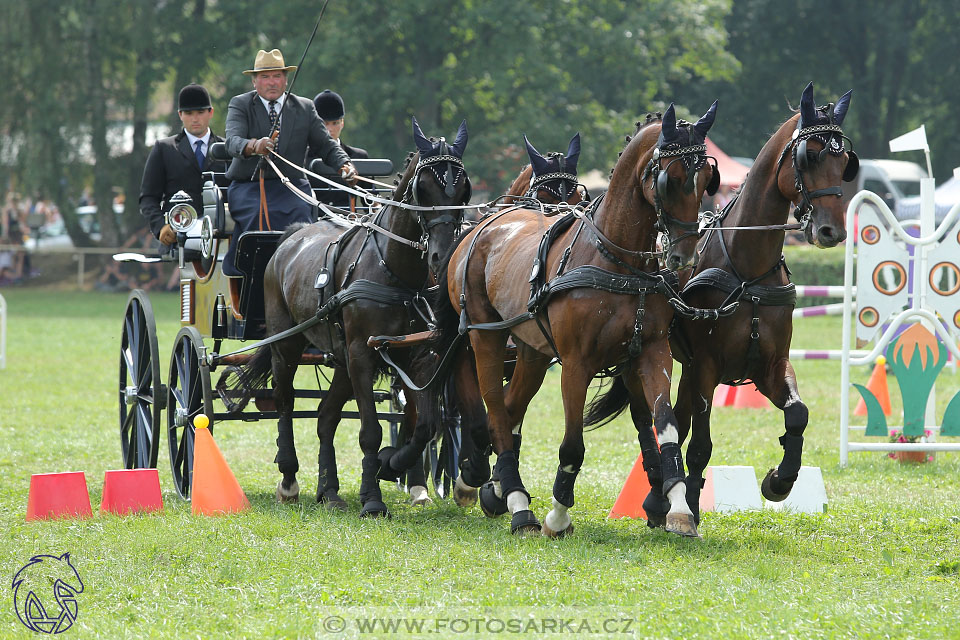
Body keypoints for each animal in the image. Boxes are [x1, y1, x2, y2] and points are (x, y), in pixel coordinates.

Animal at [218, 117, 472, 516]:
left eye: (463, 188)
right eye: (422, 187)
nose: (442, 256)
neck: (394, 271)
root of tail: (289, 238)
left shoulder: (416, 357)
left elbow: (425, 425)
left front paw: (391, 466)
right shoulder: (362, 354)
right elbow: (370, 431)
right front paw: (372, 498)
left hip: (340, 359)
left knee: (325, 416)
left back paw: (329, 490)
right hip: (288, 346)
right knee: (285, 401)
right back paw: (289, 480)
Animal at [430, 104, 720, 536]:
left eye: (705, 180)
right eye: (671, 179)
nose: (684, 257)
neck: (617, 260)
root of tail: (478, 227)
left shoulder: (651, 352)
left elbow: (665, 425)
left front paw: (680, 509)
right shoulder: (575, 363)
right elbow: (572, 445)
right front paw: (558, 514)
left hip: (532, 350)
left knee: (512, 409)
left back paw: (495, 487)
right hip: (485, 337)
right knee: (496, 412)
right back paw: (517, 505)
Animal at [664, 81, 860, 524]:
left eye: (845, 163)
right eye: (809, 156)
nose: (832, 231)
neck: (748, 275)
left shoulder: (771, 365)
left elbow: (798, 414)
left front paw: (779, 481)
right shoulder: (706, 367)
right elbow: (701, 445)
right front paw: (691, 506)